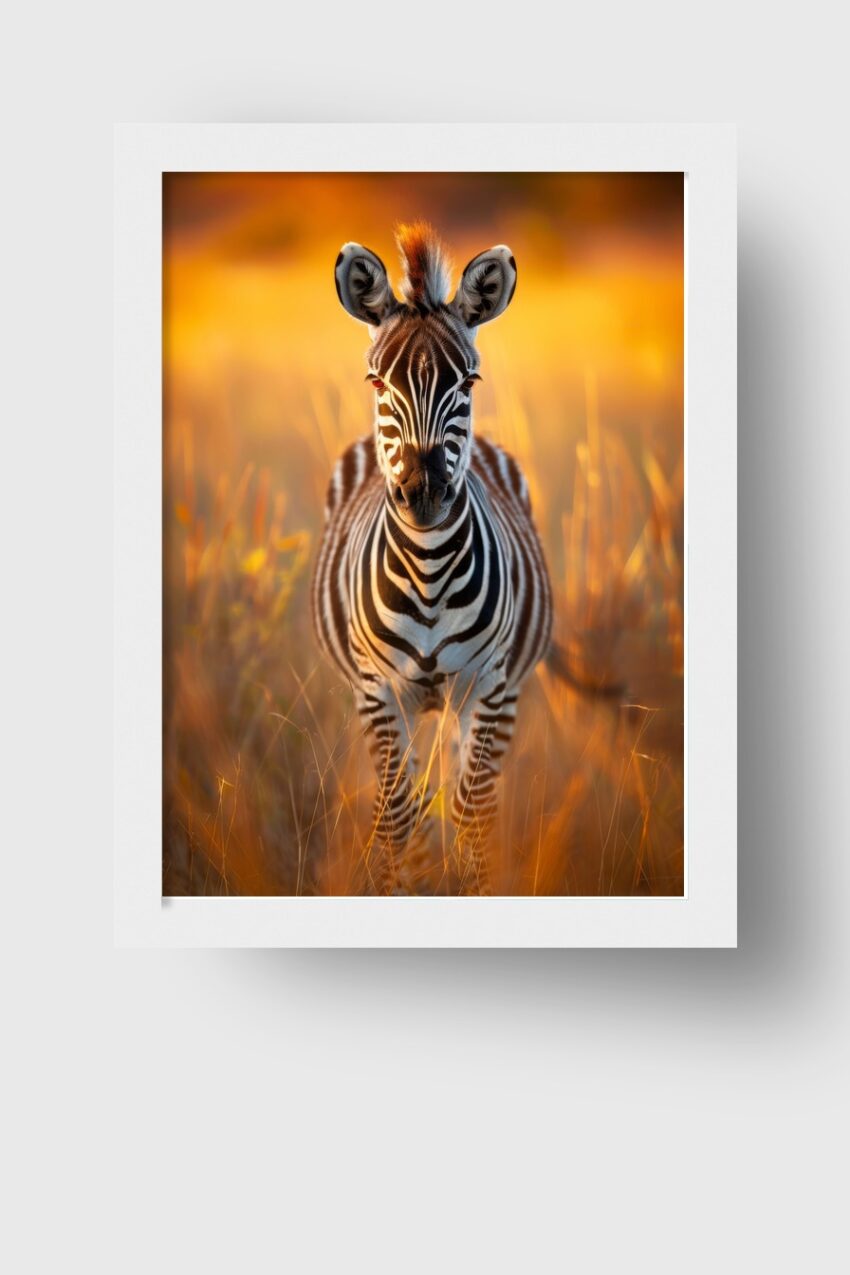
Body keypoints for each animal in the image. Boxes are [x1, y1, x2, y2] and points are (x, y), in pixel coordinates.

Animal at [312, 223, 552, 893]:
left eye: (467, 383)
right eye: (376, 382)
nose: (423, 492)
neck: (426, 573)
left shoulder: (488, 685)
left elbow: (471, 815)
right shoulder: (378, 691)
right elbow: (399, 816)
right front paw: (404, 886)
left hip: (487, 698)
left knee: (466, 792)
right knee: (411, 799)